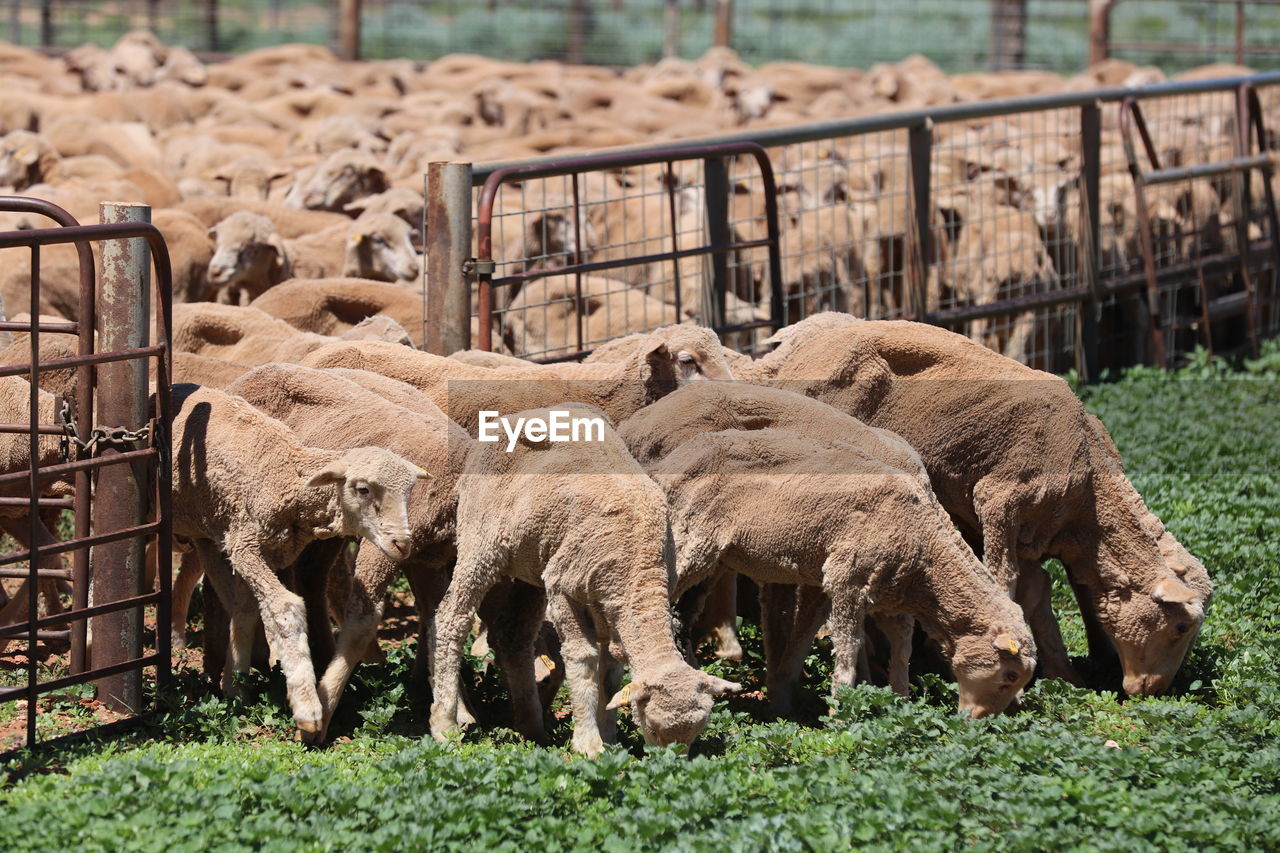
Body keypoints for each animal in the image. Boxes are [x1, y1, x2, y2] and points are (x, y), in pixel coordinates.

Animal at [167, 379, 427, 732]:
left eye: (408, 493)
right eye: (362, 489)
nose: (402, 543)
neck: (283, 475)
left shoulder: (263, 551)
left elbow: (246, 612)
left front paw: (236, 687)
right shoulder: (246, 546)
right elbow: (285, 607)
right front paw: (307, 706)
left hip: (206, 530)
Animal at [437, 402, 747, 753]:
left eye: (695, 734)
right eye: (654, 729)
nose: (668, 763)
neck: (639, 567)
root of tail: (518, 416)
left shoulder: (611, 606)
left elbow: (611, 674)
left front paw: (610, 737)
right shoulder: (563, 590)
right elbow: (582, 659)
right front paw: (589, 744)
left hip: (533, 562)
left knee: (514, 635)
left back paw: (532, 728)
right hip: (480, 541)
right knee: (452, 618)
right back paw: (445, 723)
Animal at [742, 312, 1208, 691]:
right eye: (1181, 626)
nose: (1150, 690)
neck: (1088, 485)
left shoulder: (1036, 536)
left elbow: (1043, 592)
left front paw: (1065, 672)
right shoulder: (1000, 502)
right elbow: (1006, 582)